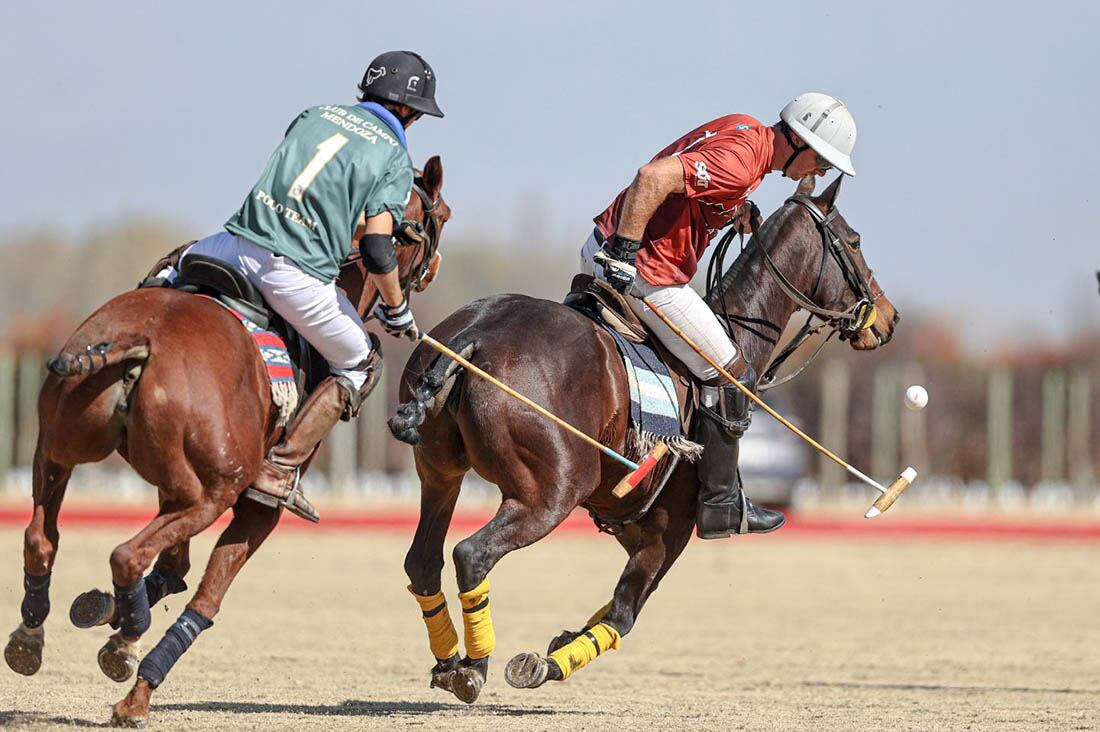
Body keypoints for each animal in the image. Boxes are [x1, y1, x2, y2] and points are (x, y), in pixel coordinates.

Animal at [5, 155, 451, 726]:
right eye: (440, 214)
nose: (429, 274)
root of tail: (140, 338)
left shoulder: (169, 484)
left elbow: (175, 569)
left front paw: (104, 613)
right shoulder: (259, 506)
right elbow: (206, 596)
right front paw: (133, 681)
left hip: (60, 449)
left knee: (42, 537)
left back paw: (31, 639)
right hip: (216, 488)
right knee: (127, 554)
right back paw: (124, 649)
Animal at [391, 176, 897, 704]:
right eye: (854, 241)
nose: (888, 317)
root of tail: (474, 336)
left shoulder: (630, 520)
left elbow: (609, 612)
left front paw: (560, 642)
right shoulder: (668, 529)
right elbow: (622, 615)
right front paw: (544, 664)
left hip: (440, 474)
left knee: (422, 560)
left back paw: (448, 661)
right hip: (549, 494)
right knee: (471, 553)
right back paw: (473, 666)